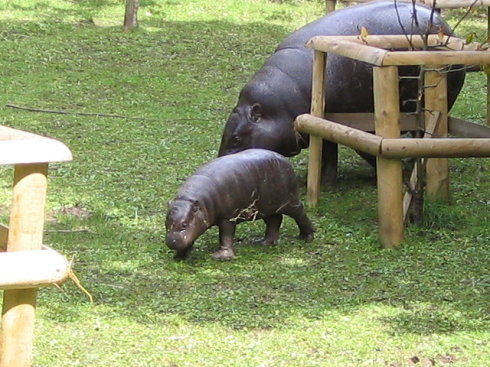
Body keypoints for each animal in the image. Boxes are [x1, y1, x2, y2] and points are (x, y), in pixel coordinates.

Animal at [167, 148, 316, 260]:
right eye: (166, 224)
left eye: (184, 224)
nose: (171, 242)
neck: (190, 200)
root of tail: (284, 159)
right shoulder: (197, 221)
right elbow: (190, 238)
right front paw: (179, 257)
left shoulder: (228, 217)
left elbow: (226, 236)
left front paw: (221, 256)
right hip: (266, 207)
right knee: (275, 220)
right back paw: (264, 243)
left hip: (289, 201)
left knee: (300, 213)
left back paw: (307, 237)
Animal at [219, 0, 468, 183]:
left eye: (236, 138)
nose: (219, 166)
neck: (279, 109)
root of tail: (444, 24)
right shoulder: (321, 125)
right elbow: (328, 152)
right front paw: (326, 181)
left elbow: (360, 149)